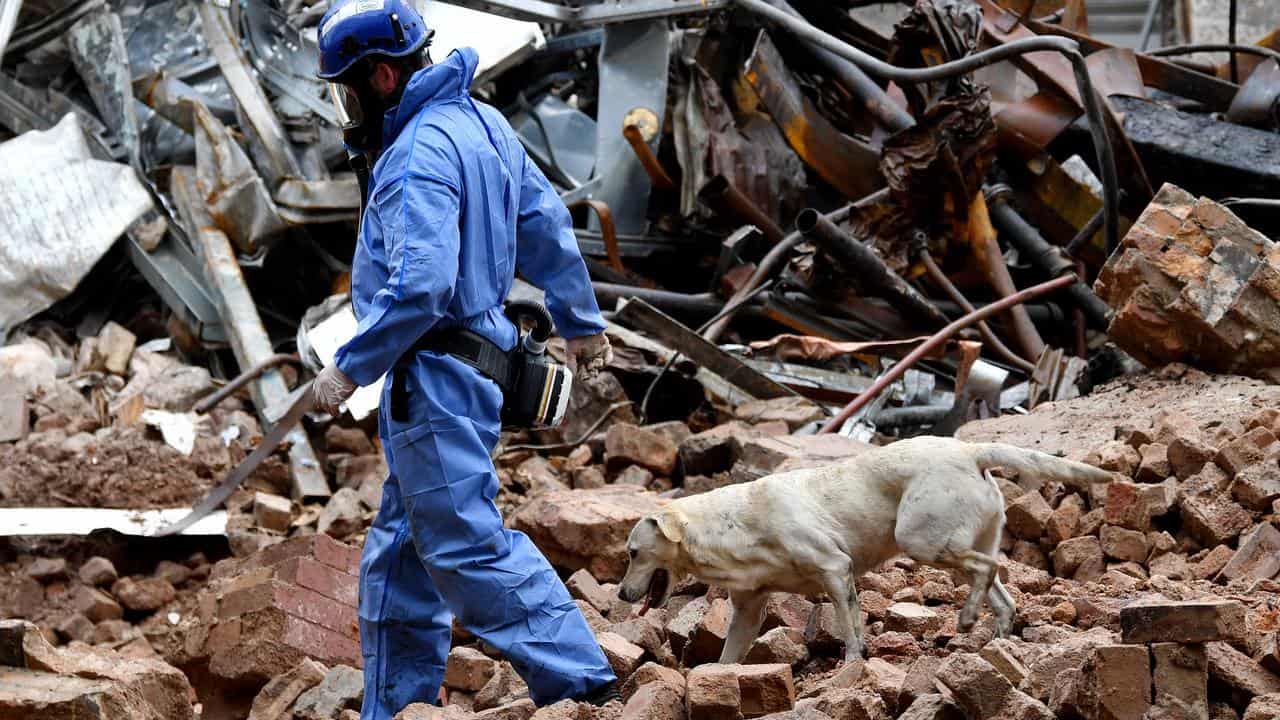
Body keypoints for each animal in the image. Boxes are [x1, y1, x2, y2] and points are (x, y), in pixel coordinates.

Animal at [616, 435, 1111, 661]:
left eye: (633, 553)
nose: (620, 594)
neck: (729, 527)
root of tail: (970, 449)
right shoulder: (748, 608)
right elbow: (728, 654)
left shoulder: (835, 568)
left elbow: (850, 627)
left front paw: (853, 664)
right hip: (962, 538)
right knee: (1000, 591)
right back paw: (996, 639)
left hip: (922, 539)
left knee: (986, 569)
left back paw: (969, 618)